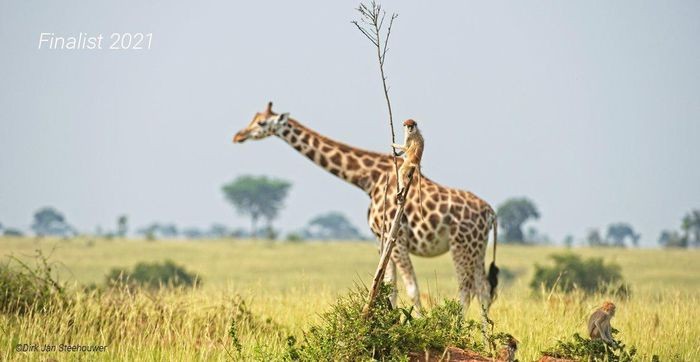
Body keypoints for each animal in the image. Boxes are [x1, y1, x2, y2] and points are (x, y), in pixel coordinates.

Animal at [234, 103, 498, 312]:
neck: (368, 179)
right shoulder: (382, 238)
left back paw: (457, 329)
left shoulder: (396, 238)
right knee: (483, 290)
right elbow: (389, 287)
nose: (238, 136)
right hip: (477, 248)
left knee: (466, 290)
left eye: (261, 122)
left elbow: (411, 288)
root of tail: (491, 213)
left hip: (460, 245)